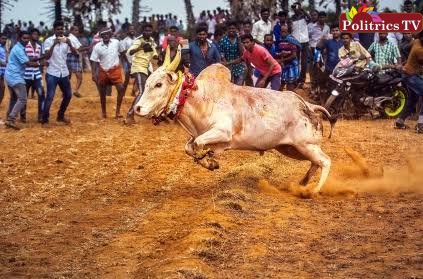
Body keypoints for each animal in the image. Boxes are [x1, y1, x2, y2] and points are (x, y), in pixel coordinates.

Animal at [134, 48, 336, 194]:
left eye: (158, 84)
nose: (138, 108)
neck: (199, 98)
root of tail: (308, 106)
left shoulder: (222, 132)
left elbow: (198, 144)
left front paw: (209, 161)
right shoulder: (199, 135)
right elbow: (190, 147)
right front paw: (210, 162)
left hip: (306, 145)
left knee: (325, 161)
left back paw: (313, 191)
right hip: (291, 148)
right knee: (315, 163)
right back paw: (302, 183)